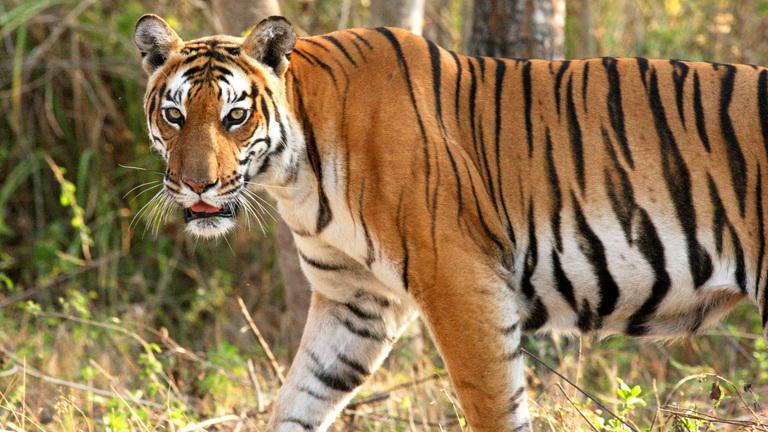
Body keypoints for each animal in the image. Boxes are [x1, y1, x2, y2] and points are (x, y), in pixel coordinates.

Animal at [133, 13, 768, 431]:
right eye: (175, 115)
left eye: (235, 117)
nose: (196, 184)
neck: (297, 175)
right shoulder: (354, 301)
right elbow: (301, 397)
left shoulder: (461, 285)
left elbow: (493, 407)